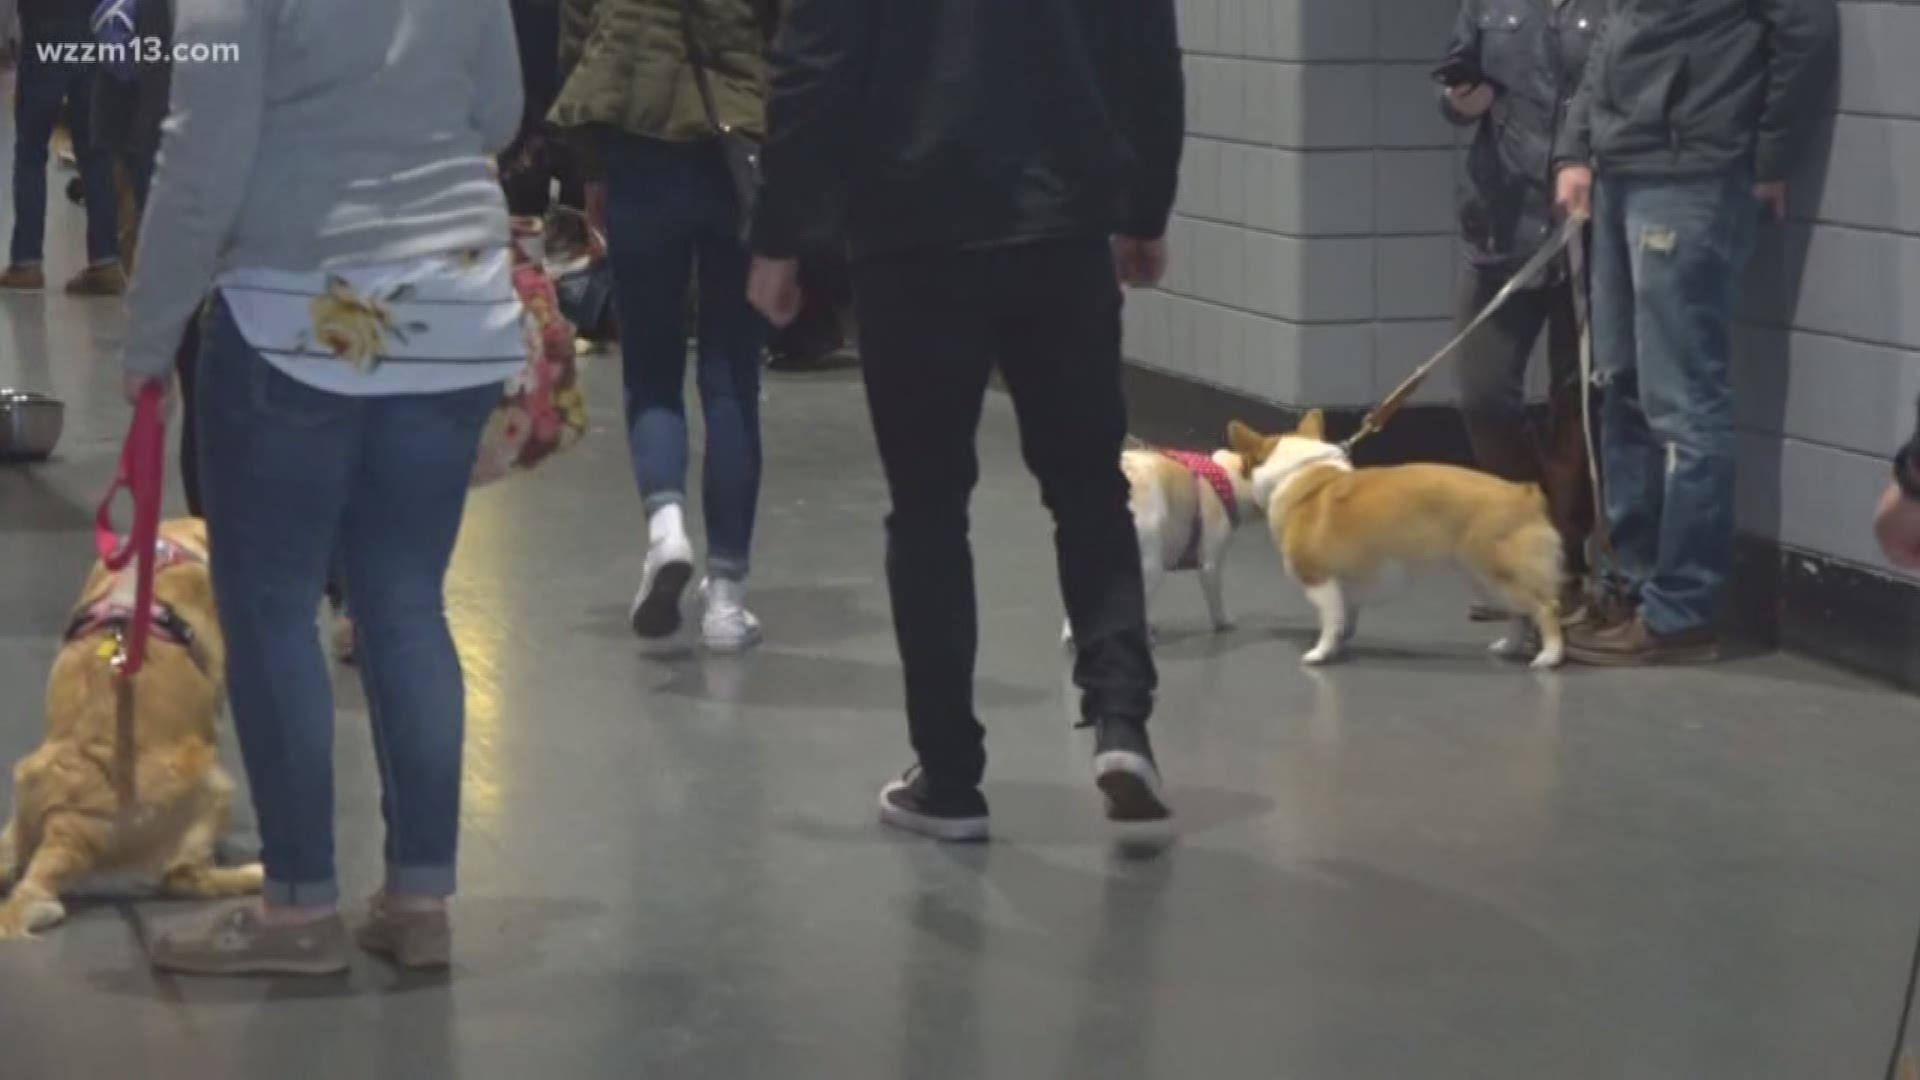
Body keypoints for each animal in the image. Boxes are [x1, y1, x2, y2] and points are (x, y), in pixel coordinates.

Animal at [1228, 411, 1559, 664]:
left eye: (1245, 464)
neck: (1299, 473)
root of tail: (1525, 494)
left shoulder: (1320, 581)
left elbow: (1330, 620)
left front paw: (1321, 653)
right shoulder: (1345, 589)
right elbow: (1344, 618)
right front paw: (1340, 642)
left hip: (1498, 575)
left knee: (1546, 607)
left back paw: (1549, 657)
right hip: (1486, 581)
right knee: (1518, 615)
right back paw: (1509, 648)